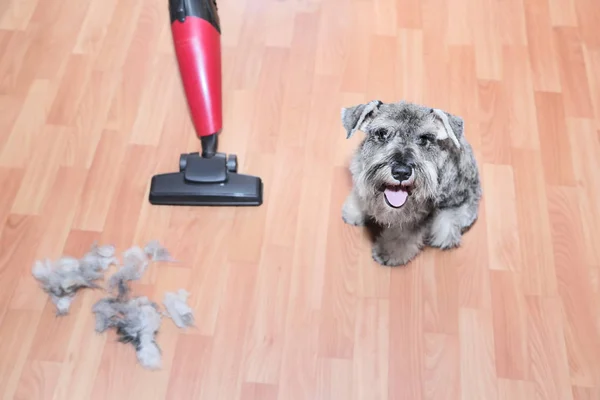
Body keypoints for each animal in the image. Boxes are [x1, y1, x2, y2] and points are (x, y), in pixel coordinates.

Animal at [342, 99, 482, 266]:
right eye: (382, 133)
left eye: (424, 139)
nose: (401, 172)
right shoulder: (359, 173)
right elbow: (361, 195)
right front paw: (353, 212)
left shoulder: (419, 216)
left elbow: (403, 236)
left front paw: (389, 253)